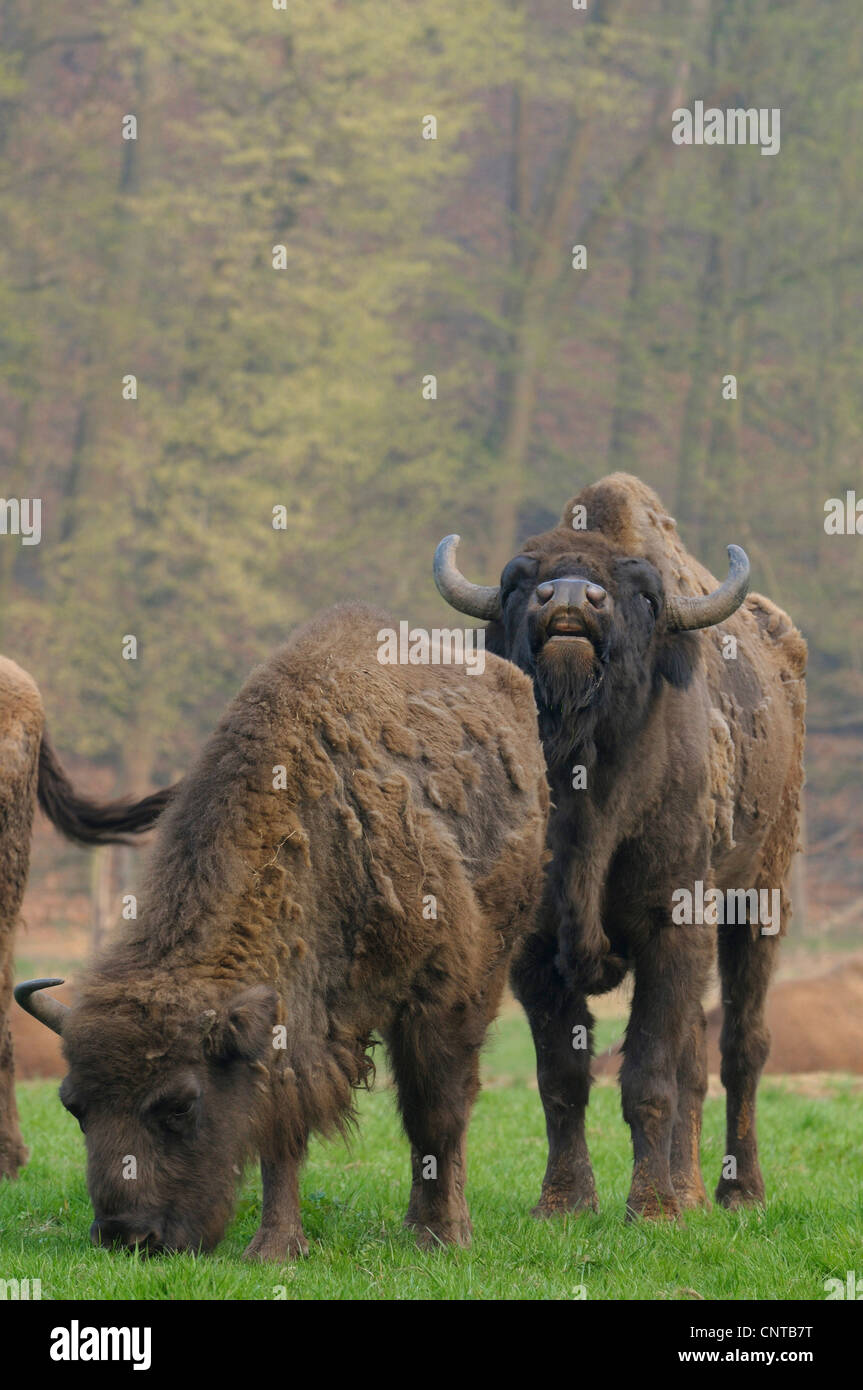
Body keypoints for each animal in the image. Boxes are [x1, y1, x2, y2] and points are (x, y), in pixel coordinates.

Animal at [434, 473, 806, 1220]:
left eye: (641, 592)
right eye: (519, 580)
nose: (570, 601)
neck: (590, 791)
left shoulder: (674, 926)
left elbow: (648, 1074)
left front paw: (652, 1208)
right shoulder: (534, 948)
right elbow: (563, 1077)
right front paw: (565, 1202)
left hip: (761, 900)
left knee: (741, 1047)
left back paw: (736, 1192)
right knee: (697, 1060)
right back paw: (691, 1191)